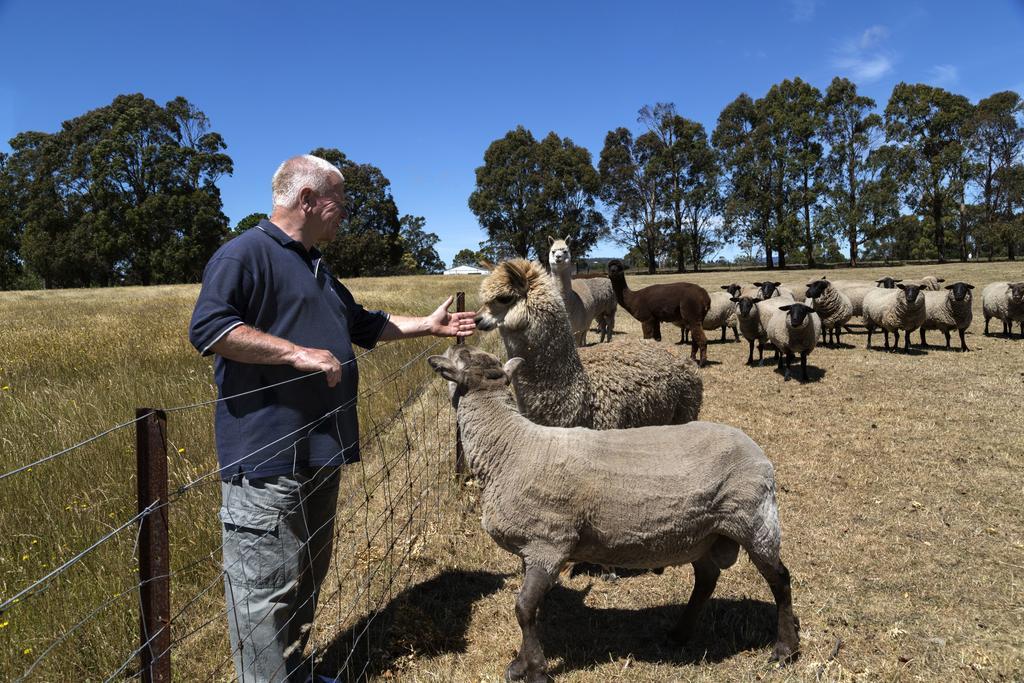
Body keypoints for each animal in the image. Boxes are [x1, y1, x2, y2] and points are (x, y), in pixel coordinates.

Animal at [423, 348, 798, 683]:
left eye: (458, 357)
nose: (445, 351)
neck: (510, 446)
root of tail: (757, 452)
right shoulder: (531, 549)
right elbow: (531, 610)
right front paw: (520, 665)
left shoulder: (549, 543)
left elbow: (524, 609)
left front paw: (536, 671)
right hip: (705, 534)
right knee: (706, 580)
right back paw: (680, 633)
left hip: (754, 519)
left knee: (780, 579)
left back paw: (785, 649)